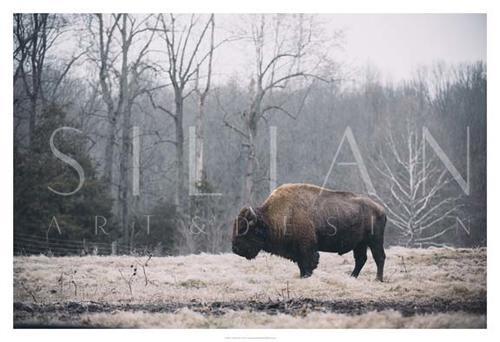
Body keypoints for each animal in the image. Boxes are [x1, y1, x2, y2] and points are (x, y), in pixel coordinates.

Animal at [231, 184, 386, 280]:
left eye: (245, 229)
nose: (235, 248)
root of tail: (380, 209)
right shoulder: (298, 251)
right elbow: (301, 266)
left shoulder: (306, 248)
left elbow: (307, 265)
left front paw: (306, 277)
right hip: (360, 244)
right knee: (361, 259)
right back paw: (352, 277)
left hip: (375, 241)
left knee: (379, 258)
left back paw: (377, 279)